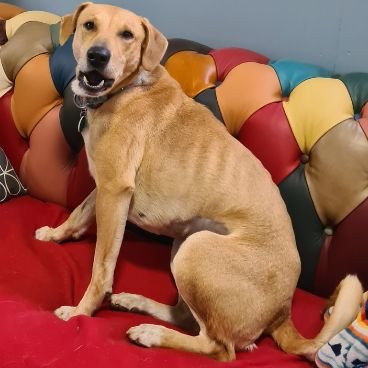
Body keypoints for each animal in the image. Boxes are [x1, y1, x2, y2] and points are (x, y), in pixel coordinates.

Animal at [36, 2, 364, 362]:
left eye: (127, 35)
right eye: (89, 25)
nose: (97, 56)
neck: (129, 88)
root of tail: (283, 313)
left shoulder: (114, 191)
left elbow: (101, 267)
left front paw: (80, 312)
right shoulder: (109, 189)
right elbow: (77, 214)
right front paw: (54, 235)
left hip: (195, 250)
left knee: (218, 347)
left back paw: (151, 334)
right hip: (183, 246)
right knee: (185, 316)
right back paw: (135, 303)